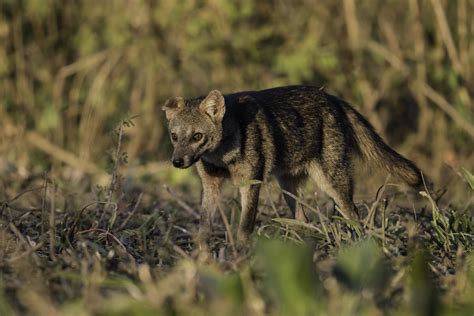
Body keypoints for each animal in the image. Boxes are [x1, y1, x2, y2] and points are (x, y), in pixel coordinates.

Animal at [163, 85, 430, 246]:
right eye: (174, 136)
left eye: (197, 136)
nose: (177, 162)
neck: (222, 155)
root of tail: (330, 97)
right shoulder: (211, 185)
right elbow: (203, 226)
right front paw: (202, 257)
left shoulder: (251, 184)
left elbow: (244, 226)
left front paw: (240, 255)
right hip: (289, 188)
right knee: (305, 220)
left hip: (331, 183)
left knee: (356, 217)